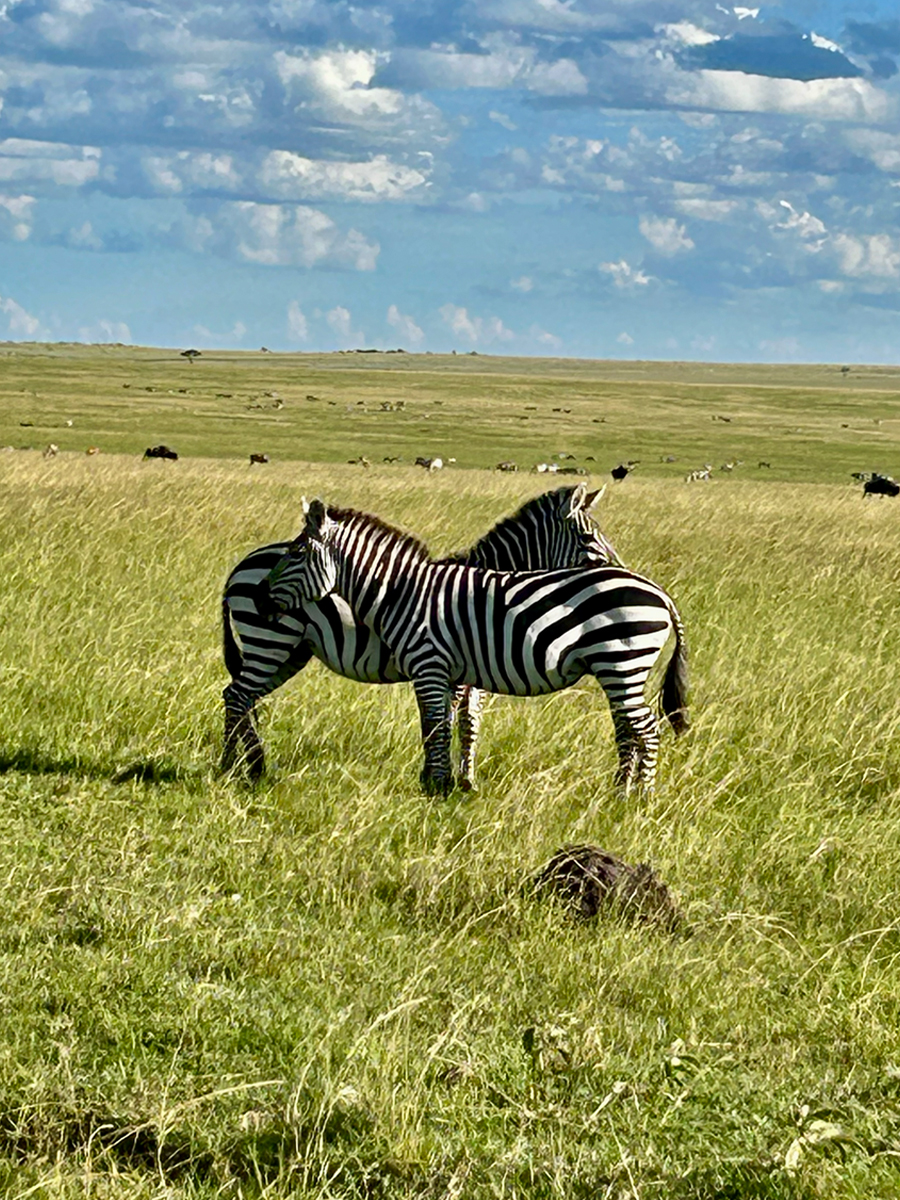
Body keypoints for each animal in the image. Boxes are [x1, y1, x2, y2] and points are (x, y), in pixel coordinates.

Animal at [256, 500, 688, 797]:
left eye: (296, 554)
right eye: (588, 536)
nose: (260, 597)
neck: (402, 592)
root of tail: (659, 592)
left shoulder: (430, 666)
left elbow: (439, 725)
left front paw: (439, 785)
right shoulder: (448, 673)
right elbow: (444, 725)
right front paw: (442, 780)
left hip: (621, 664)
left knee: (646, 729)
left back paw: (640, 798)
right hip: (621, 670)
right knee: (633, 729)